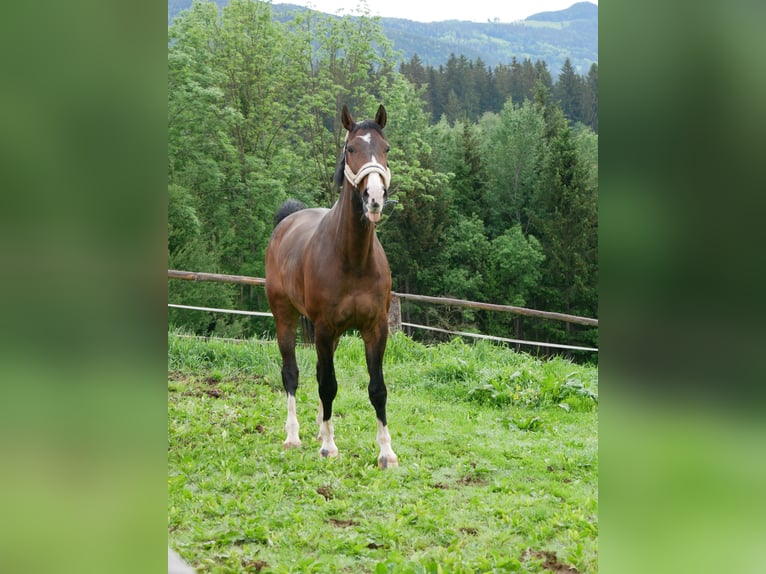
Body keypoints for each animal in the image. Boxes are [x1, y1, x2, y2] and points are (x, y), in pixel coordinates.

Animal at [264, 106, 400, 470]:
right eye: (351, 148)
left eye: (386, 148)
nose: (374, 198)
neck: (352, 258)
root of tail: (287, 221)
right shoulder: (324, 327)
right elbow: (328, 384)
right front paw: (328, 447)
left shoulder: (375, 328)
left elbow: (377, 389)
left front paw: (386, 452)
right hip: (285, 317)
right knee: (292, 373)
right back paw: (294, 436)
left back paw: (318, 429)